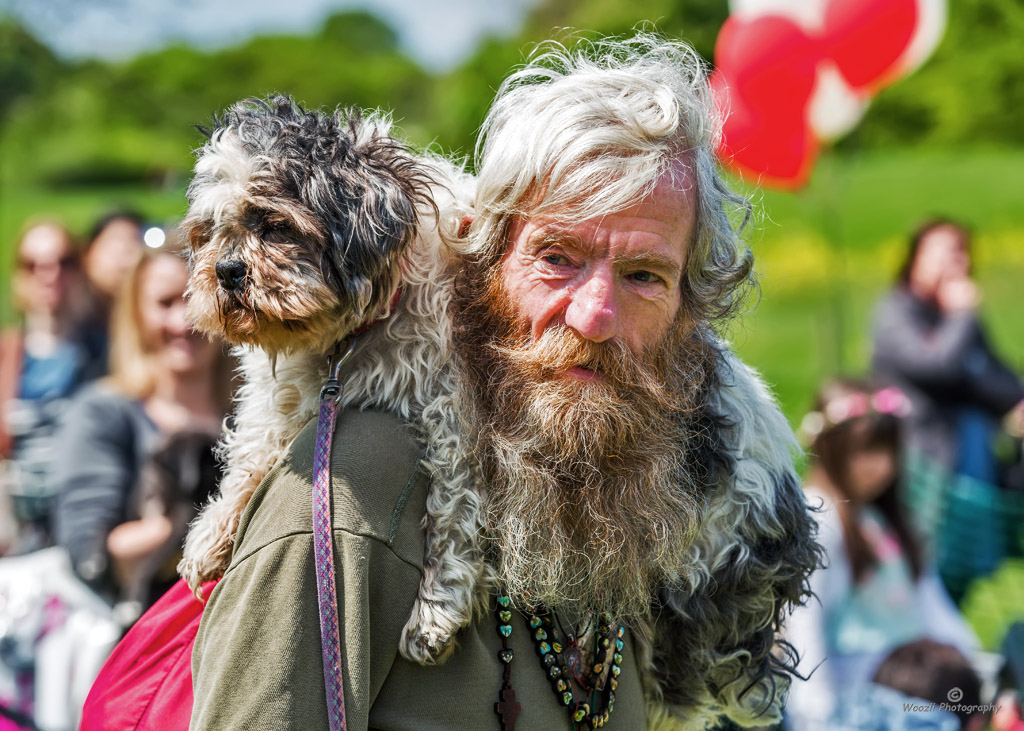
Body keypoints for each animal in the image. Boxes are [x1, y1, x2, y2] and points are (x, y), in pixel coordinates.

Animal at [179, 95, 483, 659]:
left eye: (275, 225)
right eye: (209, 232)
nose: (226, 270)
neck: (351, 341)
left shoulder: (458, 419)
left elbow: (456, 512)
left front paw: (437, 609)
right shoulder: (284, 393)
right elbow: (253, 449)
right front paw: (213, 531)